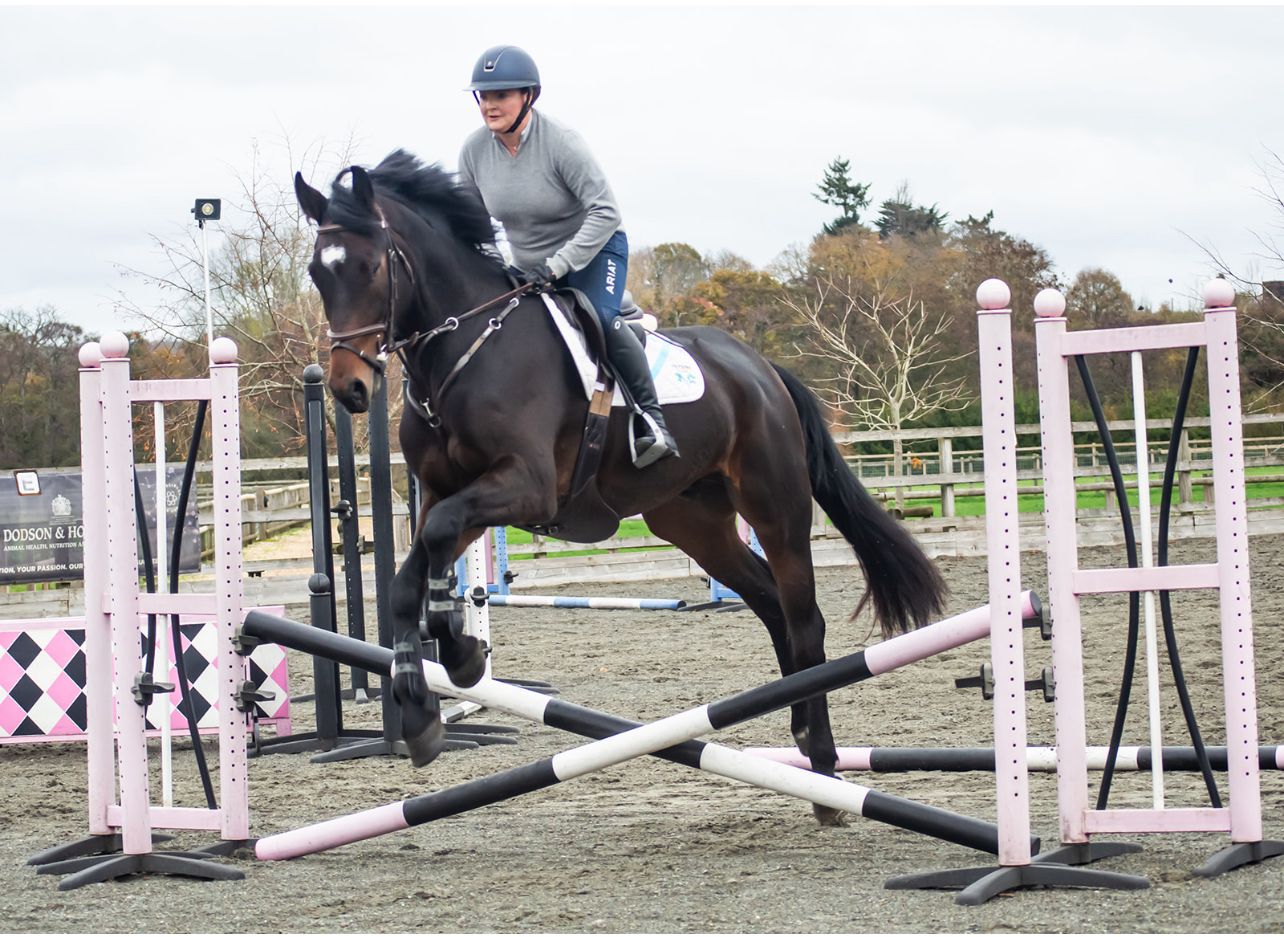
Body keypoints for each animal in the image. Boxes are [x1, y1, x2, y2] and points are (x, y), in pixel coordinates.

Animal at [293, 150, 947, 824]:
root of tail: (761, 368)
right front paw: (429, 702)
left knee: (803, 618)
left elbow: (441, 540)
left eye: (371, 266)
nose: (348, 388)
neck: (466, 348)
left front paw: (457, 657)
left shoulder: (525, 485)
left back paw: (821, 764)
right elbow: (411, 577)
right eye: (318, 272)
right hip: (694, 523)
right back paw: (800, 745)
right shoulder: (450, 489)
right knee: (772, 609)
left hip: (776, 508)